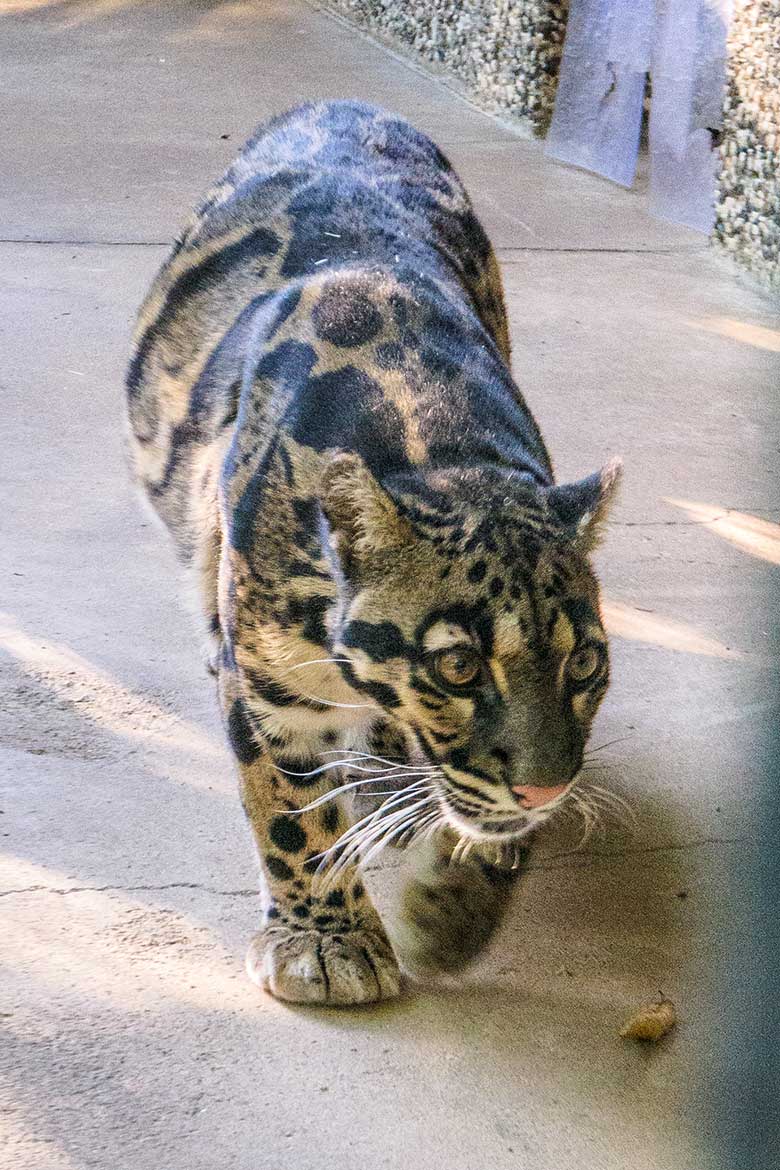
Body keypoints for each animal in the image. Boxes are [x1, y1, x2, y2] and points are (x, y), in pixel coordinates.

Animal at [126, 102, 622, 1006]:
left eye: (584, 665)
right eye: (458, 667)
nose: (546, 786)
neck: (446, 449)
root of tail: (341, 104)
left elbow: (490, 821)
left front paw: (454, 913)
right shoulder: (268, 685)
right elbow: (293, 812)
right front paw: (328, 944)